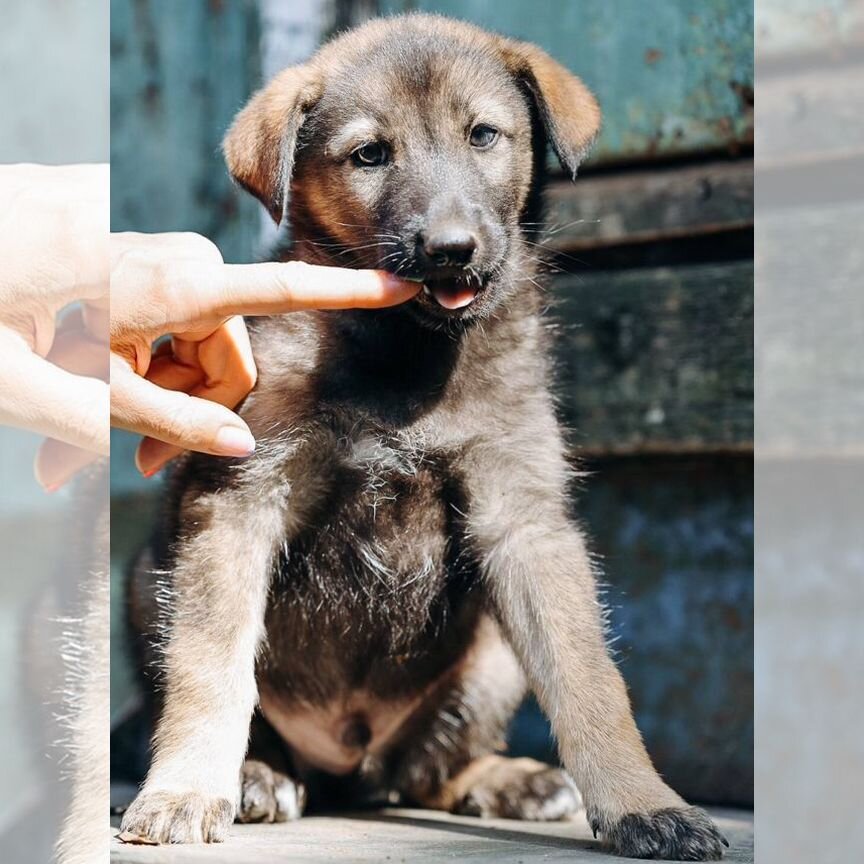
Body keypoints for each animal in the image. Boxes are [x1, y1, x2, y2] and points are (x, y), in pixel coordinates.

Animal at [120, 13, 728, 856]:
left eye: (484, 135)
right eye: (370, 154)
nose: (450, 248)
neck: (407, 357)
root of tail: (349, 764)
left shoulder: (523, 516)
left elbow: (588, 678)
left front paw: (643, 802)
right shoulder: (241, 499)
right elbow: (212, 665)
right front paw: (185, 787)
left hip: (493, 658)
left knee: (428, 770)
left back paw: (510, 780)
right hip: (149, 584)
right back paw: (259, 776)